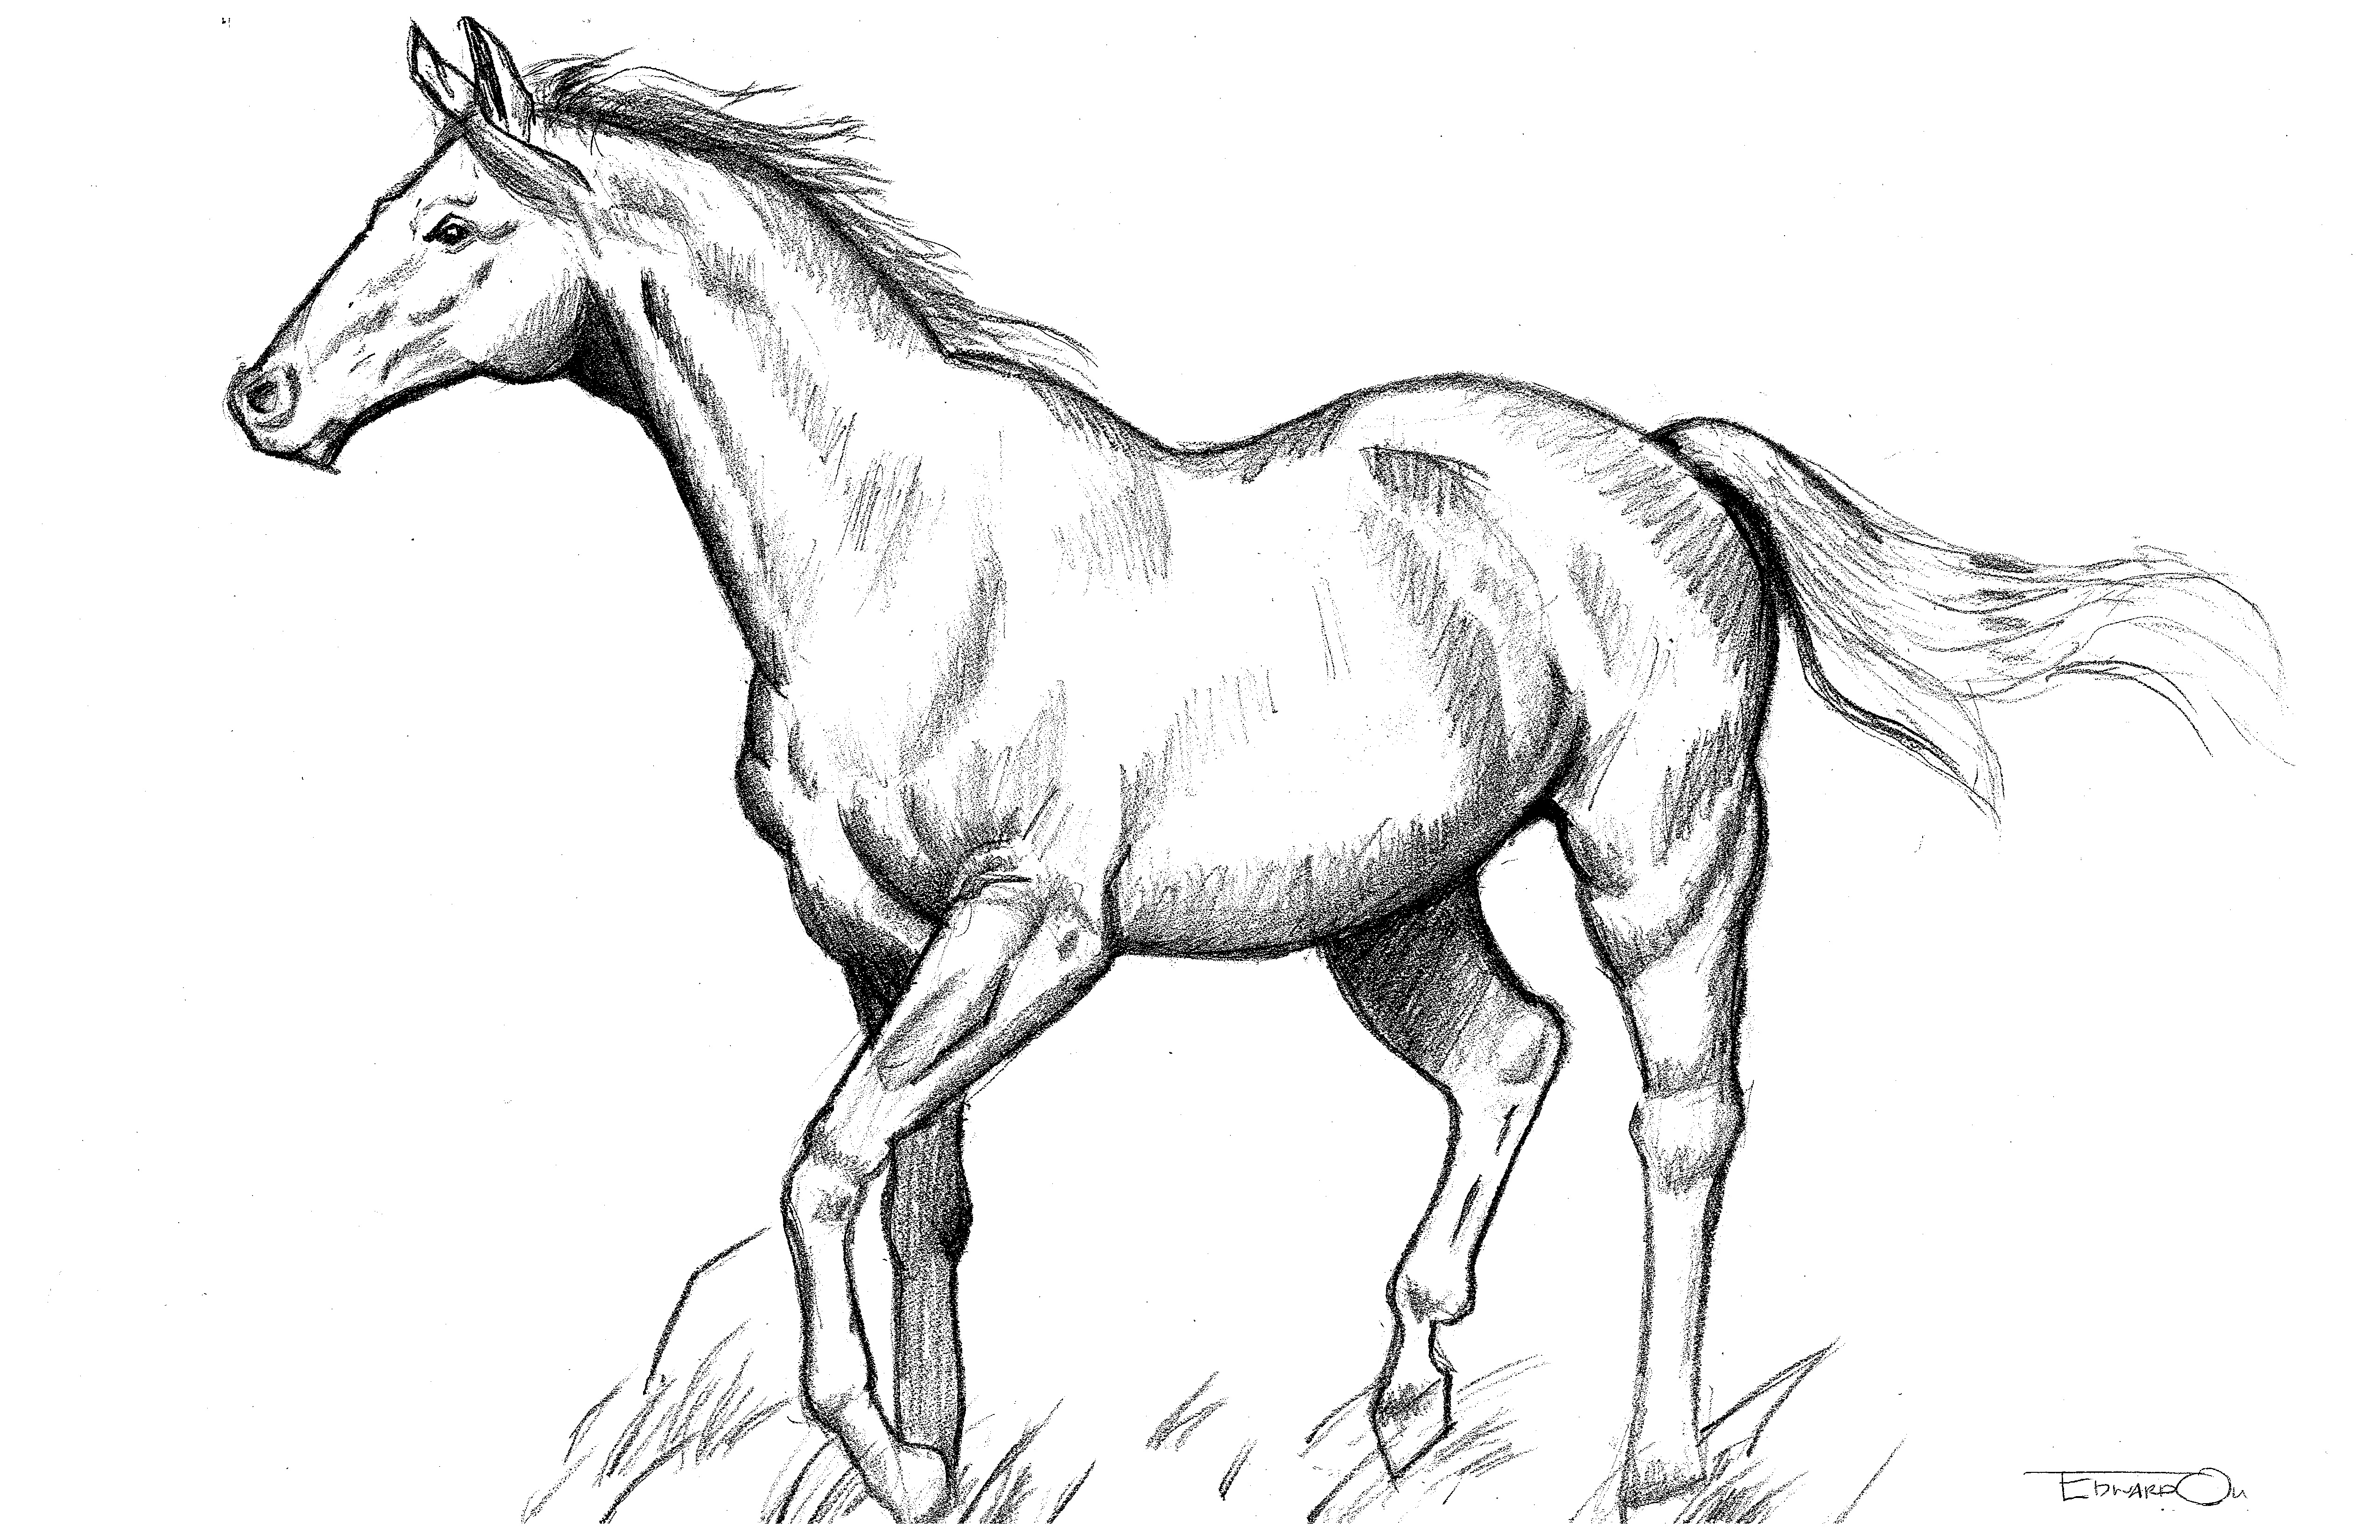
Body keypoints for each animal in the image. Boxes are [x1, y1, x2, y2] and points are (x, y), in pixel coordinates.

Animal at [227, 20, 2273, 1521]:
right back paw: (1408, 1401)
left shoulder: (1031, 929)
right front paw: (936, 1463)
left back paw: (1661, 1464)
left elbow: (821, 1164)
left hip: (1665, 857)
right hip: (1397, 907)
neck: (892, 540)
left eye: (453, 229)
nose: (265, 397)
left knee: (1682, 1115)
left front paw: (875, 1441)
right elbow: (915, 1190)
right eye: (393, 204)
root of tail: (1673, 464)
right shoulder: (875, 940)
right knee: (1508, 1056)